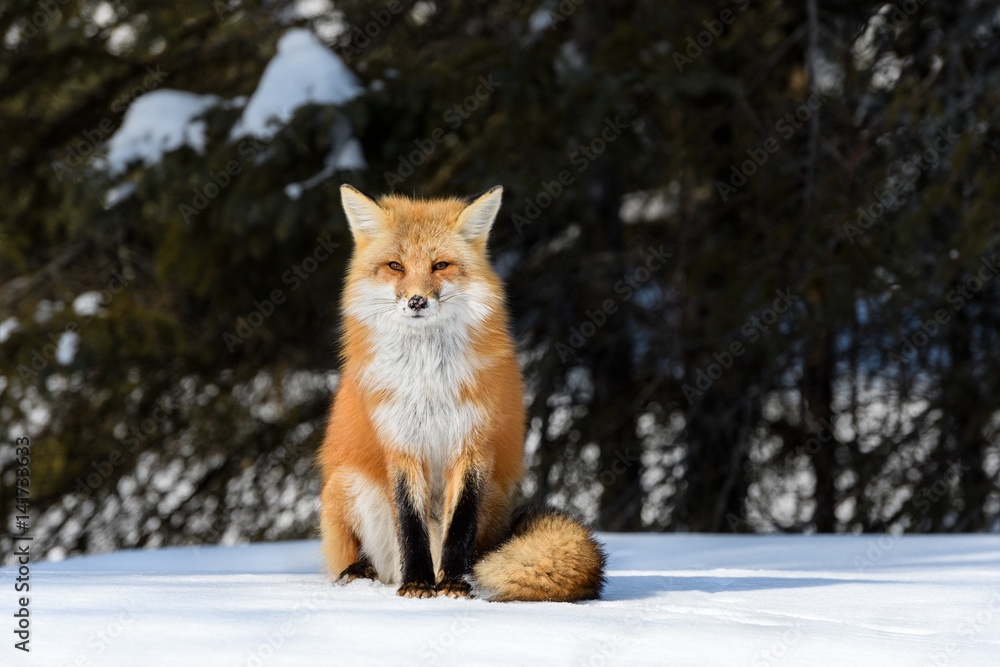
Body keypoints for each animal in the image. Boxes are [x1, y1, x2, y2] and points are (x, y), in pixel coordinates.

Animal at [317, 184, 606, 601]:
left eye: (440, 266)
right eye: (395, 266)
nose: (417, 301)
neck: (428, 383)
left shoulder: (474, 445)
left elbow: (460, 525)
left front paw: (453, 583)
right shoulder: (401, 446)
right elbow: (411, 527)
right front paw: (418, 583)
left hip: (494, 499)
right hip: (347, 482)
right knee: (367, 555)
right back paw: (362, 572)